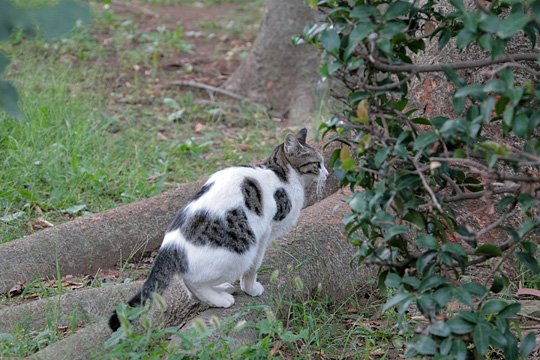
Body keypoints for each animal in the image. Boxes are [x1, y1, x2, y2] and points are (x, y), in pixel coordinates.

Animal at [108, 128, 330, 330]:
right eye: (318, 164)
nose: (327, 174)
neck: (281, 174)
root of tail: (170, 247)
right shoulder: (264, 235)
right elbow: (253, 268)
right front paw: (251, 288)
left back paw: (219, 290)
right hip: (241, 252)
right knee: (194, 283)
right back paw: (221, 300)